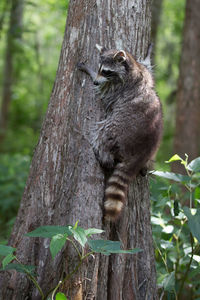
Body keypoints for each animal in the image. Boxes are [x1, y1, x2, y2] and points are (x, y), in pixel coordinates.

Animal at [77, 44, 163, 220]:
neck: (131, 68)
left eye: (106, 71)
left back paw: (100, 152)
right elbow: (149, 68)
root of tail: (140, 154)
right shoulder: (144, 73)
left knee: (102, 135)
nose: (95, 80)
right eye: (100, 68)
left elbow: (103, 92)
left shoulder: (119, 88)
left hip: (117, 130)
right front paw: (148, 54)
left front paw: (89, 72)